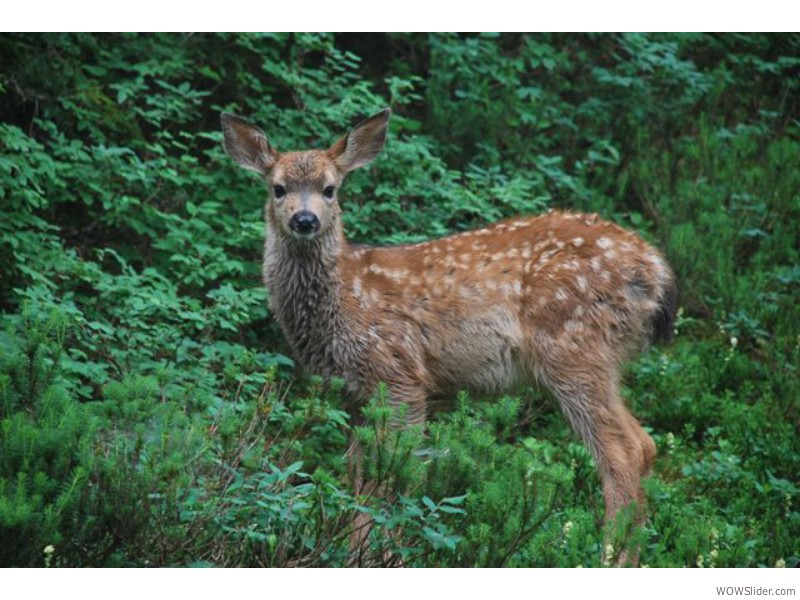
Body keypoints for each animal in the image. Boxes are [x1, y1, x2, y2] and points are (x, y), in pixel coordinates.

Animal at [222, 109, 680, 568]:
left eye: (330, 189)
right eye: (278, 188)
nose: (305, 220)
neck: (346, 299)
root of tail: (656, 269)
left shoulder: (399, 373)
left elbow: (394, 473)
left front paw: (383, 555)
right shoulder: (355, 393)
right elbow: (360, 473)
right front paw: (353, 553)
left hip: (573, 345)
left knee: (624, 449)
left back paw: (611, 558)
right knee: (646, 444)